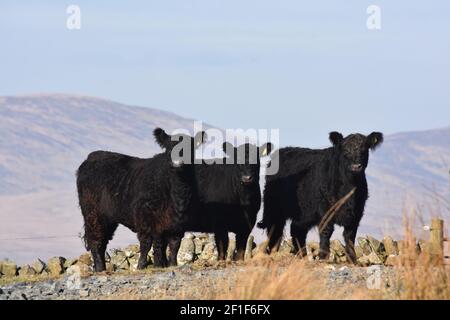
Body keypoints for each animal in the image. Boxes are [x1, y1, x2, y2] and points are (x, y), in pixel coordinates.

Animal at [76, 127, 207, 270]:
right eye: (168, 148)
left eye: (190, 148)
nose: (177, 163)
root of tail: (92, 157)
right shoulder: (145, 217)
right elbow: (147, 243)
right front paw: (142, 265)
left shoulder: (177, 223)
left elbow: (173, 244)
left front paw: (170, 264)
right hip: (93, 214)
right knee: (95, 240)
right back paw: (100, 268)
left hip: (108, 218)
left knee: (103, 240)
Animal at [258, 131, 382, 262]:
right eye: (345, 150)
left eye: (364, 149)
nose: (356, 166)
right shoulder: (325, 208)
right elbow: (326, 231)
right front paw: (323, 256)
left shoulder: (356, 212)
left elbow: (350, 236)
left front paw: (352, 259)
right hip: (274, 209)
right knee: (275, 230)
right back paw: (272, 253)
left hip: (305, 213)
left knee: (297, 230)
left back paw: (302, 255)